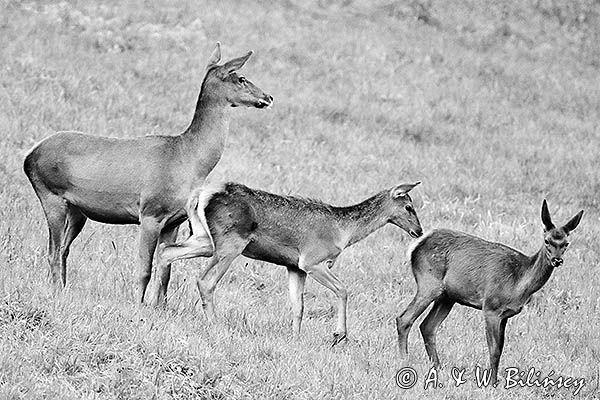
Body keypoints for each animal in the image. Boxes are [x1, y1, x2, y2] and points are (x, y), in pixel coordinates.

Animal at [22, 41, 274, 304]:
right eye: (241, 77)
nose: (268, 97)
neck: (189, 160)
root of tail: (29, 155)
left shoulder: (174, 221)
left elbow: (166, 271)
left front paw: (159, 306)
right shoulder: (151, 212)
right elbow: (144, 269)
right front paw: (138, 304)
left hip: (77, 210)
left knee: (63, 250)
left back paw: (63, 289)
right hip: (50, 193)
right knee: (53, 251)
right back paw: (55, 292)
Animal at [157, 180, 424, 344]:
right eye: (409, 207)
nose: (419, 231)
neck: (343, 231)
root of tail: (200, 195)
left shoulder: (295, 267)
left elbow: (298, 306)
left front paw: (295, 338)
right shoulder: (312, 261)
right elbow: (343, 289)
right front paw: (339, 335)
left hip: (204, 239)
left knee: (165, 250)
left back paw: (155, 304)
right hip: (231, 242)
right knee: (205, 279)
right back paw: (214, 323)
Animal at [396, 200, 584, 384]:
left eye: (566, 243)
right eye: (547, 241)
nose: (557, 260)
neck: (518, 284)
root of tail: (415, 245)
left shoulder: (505, 315)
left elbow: (500, 348)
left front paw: (495, 381)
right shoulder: (491, 307)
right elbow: (493, 349)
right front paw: (491, 383)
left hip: (447, 296)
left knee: (427, 326)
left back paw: (437, 367)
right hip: (429, 283)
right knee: (404, 318)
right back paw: (405, 361)